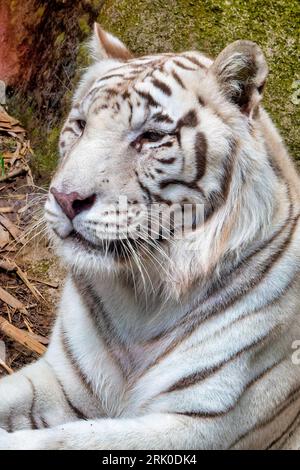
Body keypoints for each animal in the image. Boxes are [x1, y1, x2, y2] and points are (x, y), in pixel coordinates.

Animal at [0, 23, 300, 450]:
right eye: (80, 125)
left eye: (152, 136)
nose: (66, 198)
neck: (141, 296)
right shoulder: (62, 382)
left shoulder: (202, 424)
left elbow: (66, 441)